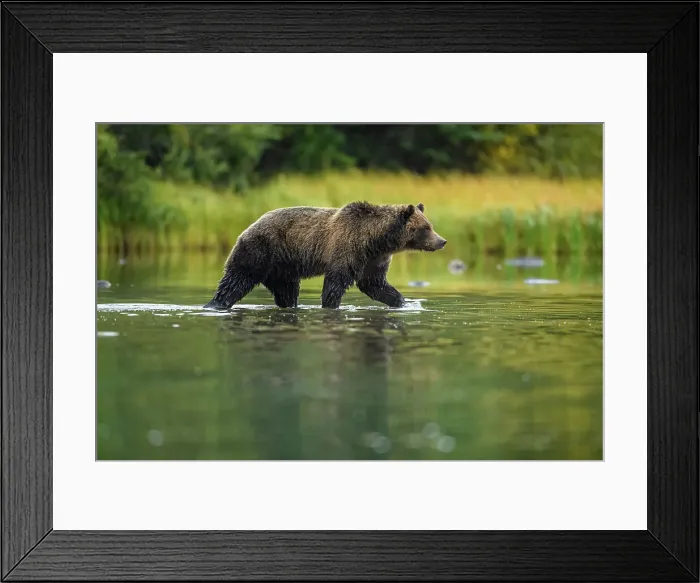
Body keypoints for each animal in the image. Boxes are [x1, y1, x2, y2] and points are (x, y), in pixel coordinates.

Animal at [203, 201, 447, 310]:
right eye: (426, 228)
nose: (442, 241)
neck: (376, 240)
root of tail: (247, 227)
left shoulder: (374, 260)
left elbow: (375, 284)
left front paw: (402, 301)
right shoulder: (347, 249)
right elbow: (336, 283)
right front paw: (331, 304)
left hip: (283, 269)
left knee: (287, 292)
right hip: (260, 251)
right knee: (236, 280)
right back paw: (215, 304)